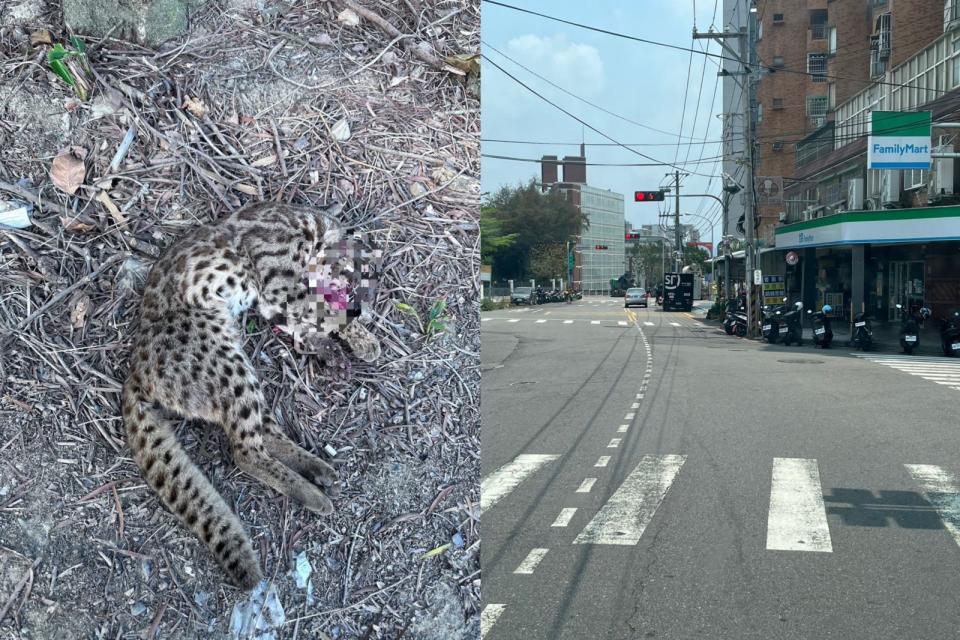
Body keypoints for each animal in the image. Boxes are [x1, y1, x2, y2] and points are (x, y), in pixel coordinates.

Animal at [118, 202, 376, 588]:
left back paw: (316, 469)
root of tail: (136, 367)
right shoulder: (279, 284)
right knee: (245, 452)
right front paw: (349, 330)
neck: (310, 228)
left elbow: (305, 325)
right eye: (351, 276)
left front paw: (351, 341)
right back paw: (312, 493)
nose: (358, 304)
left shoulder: (276, 303)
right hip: (227, 366)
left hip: (236, 369)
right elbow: (314, 311)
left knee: (265, 435)